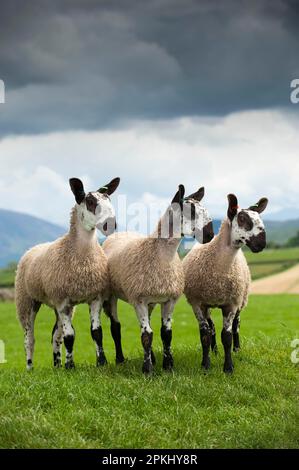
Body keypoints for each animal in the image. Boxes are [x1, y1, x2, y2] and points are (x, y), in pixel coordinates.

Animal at [14, 177, 120, 370]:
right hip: (27, 300)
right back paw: (30, 367)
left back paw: (57, 365)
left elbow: (96, 332)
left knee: (55, 335)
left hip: (58, 303)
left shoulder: (95, 297)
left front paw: (101, 362)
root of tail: (34, 247)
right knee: (29, 338)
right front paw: (71, 366)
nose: (110, 225)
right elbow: (70, 336)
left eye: (109, 200)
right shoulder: (62, 300)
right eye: (90, 202)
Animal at [103, 185, 216, 372]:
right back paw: (120, 359)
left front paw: (168, 366)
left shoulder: (169, 299)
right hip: (112, 294)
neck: (160, 255)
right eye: (191, 212)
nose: (209, 235)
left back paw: (153, 359)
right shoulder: (138, 299)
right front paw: (147, 369)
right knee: (115, 326)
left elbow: (166, 333)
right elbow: (146, 336)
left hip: (151, 301)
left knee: (147, 323)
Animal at [183, 193, 270, 372]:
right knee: (212, 328)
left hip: (241, 300)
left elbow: (227, 336)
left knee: (237, 325)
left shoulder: (231, 304)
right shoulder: (197, 303)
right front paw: (205, 365)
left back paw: (237, 349)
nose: (261, 243)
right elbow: (205, 335)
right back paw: (214, 351)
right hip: (209, 304)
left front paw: (228, 367)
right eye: (242, 218)